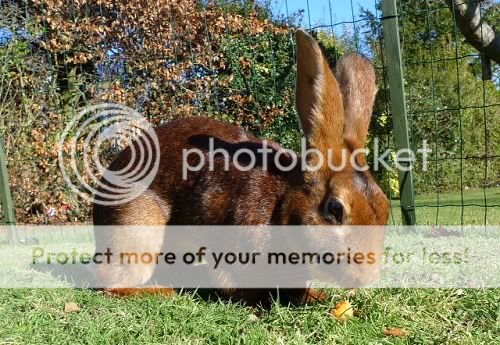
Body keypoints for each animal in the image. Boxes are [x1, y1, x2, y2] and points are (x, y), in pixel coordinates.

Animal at [94, 29, 390, 304]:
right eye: (335, 209)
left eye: (385, 207)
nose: (365, 278)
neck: (281, 203)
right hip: (136, 229)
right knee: (112, 282)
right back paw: (162, 292)